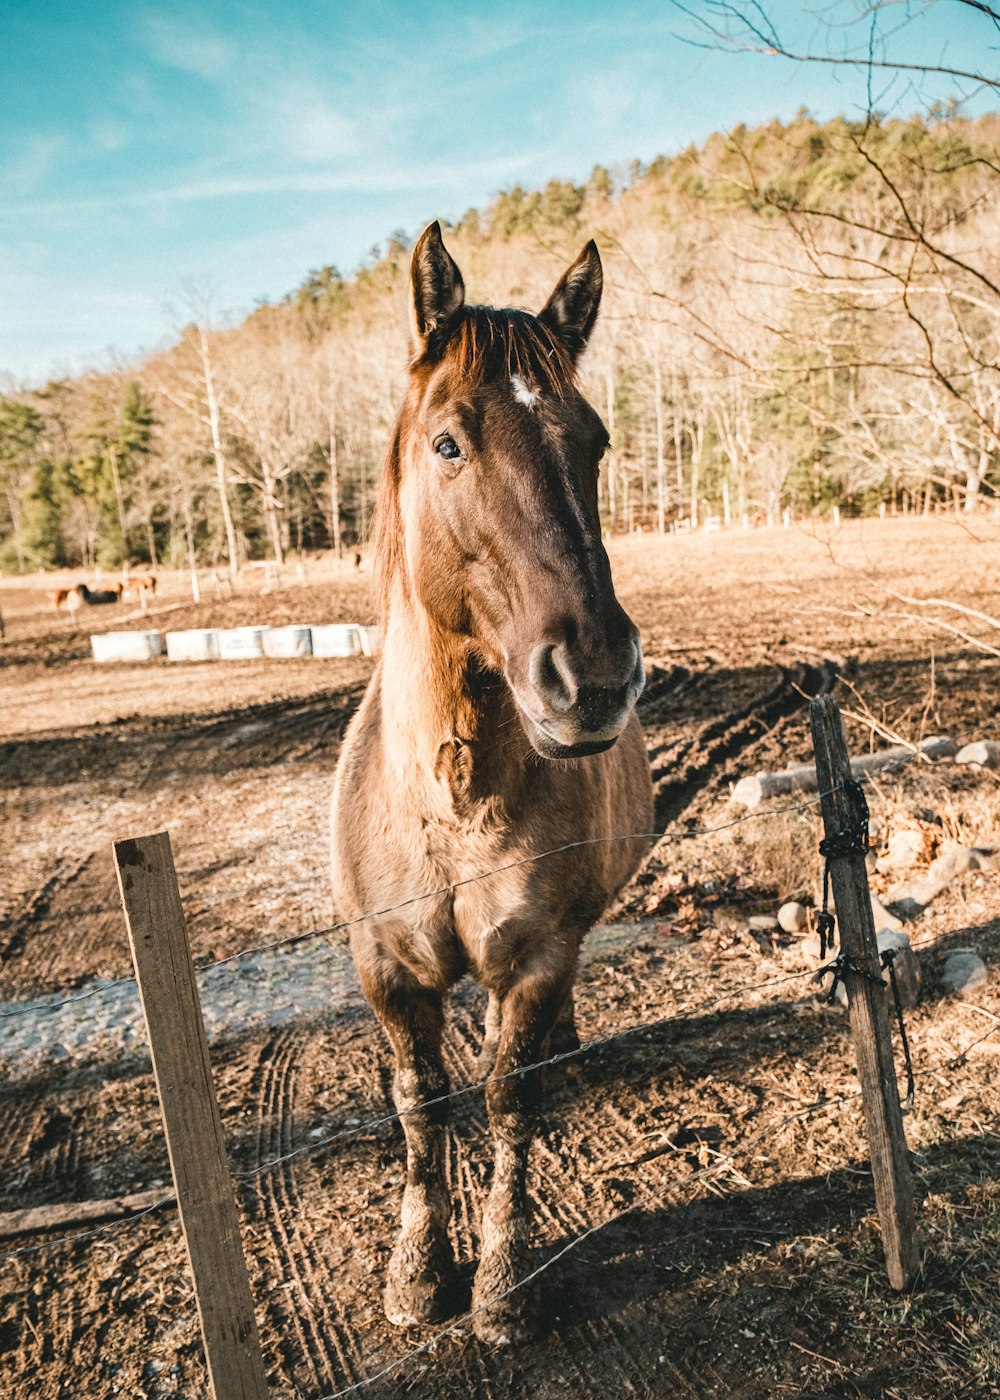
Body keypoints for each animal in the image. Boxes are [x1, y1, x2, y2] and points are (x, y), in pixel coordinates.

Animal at [330, 221, 649, 1344]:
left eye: (593, 442)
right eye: (448, 444)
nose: (593, 674)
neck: (452, 798)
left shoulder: (538, 957)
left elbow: (510, 1098)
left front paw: (502, 1280)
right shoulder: (385, 966)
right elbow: (421, 1105)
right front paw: (417, 1273)